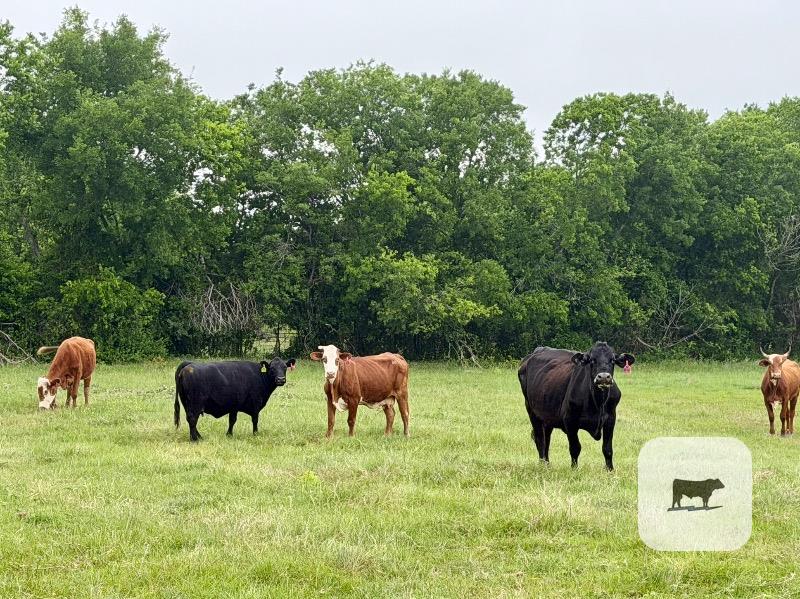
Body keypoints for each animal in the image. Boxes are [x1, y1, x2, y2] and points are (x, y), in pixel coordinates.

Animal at [518, 341, 635, 471]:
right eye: (592, 360)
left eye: (613, 360)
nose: (604, 377)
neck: (598, 403)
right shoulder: (570, 421)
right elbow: (575, 448)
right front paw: (574, 469)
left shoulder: (610, 418)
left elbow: (607, 449)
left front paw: (610, 470)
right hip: (532, 411)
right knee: (540, 439)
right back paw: (543, 465)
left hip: (547, 416)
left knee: (546, 439)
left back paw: (547, 464)